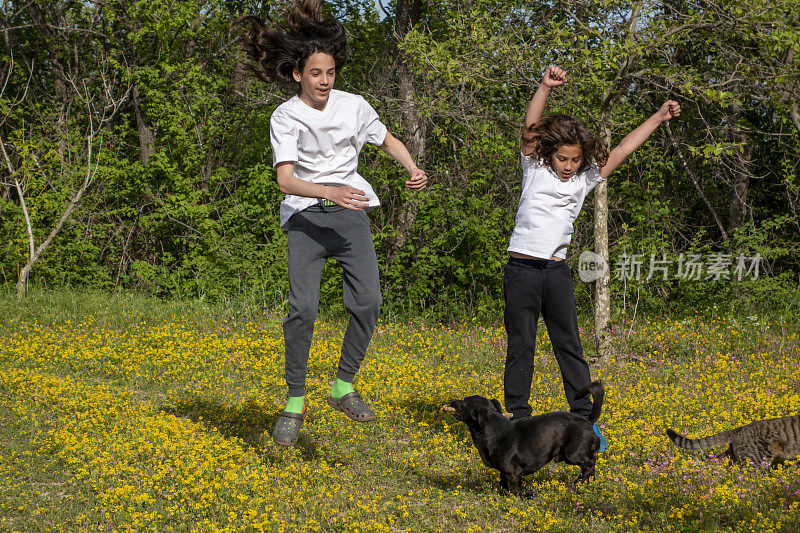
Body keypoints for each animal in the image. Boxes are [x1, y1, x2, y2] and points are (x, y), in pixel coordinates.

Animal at [440, 378, 604, 494]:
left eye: (463, 403)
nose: (451, 401)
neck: (492, 429)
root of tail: (587, 421)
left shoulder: (513, 472)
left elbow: (514, 490)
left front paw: (521, 498)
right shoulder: (506, 473)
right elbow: (505, 486)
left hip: (572, 454)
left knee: (590, 464)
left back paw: (577, 485)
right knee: (591, 464)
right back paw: (589, 484)